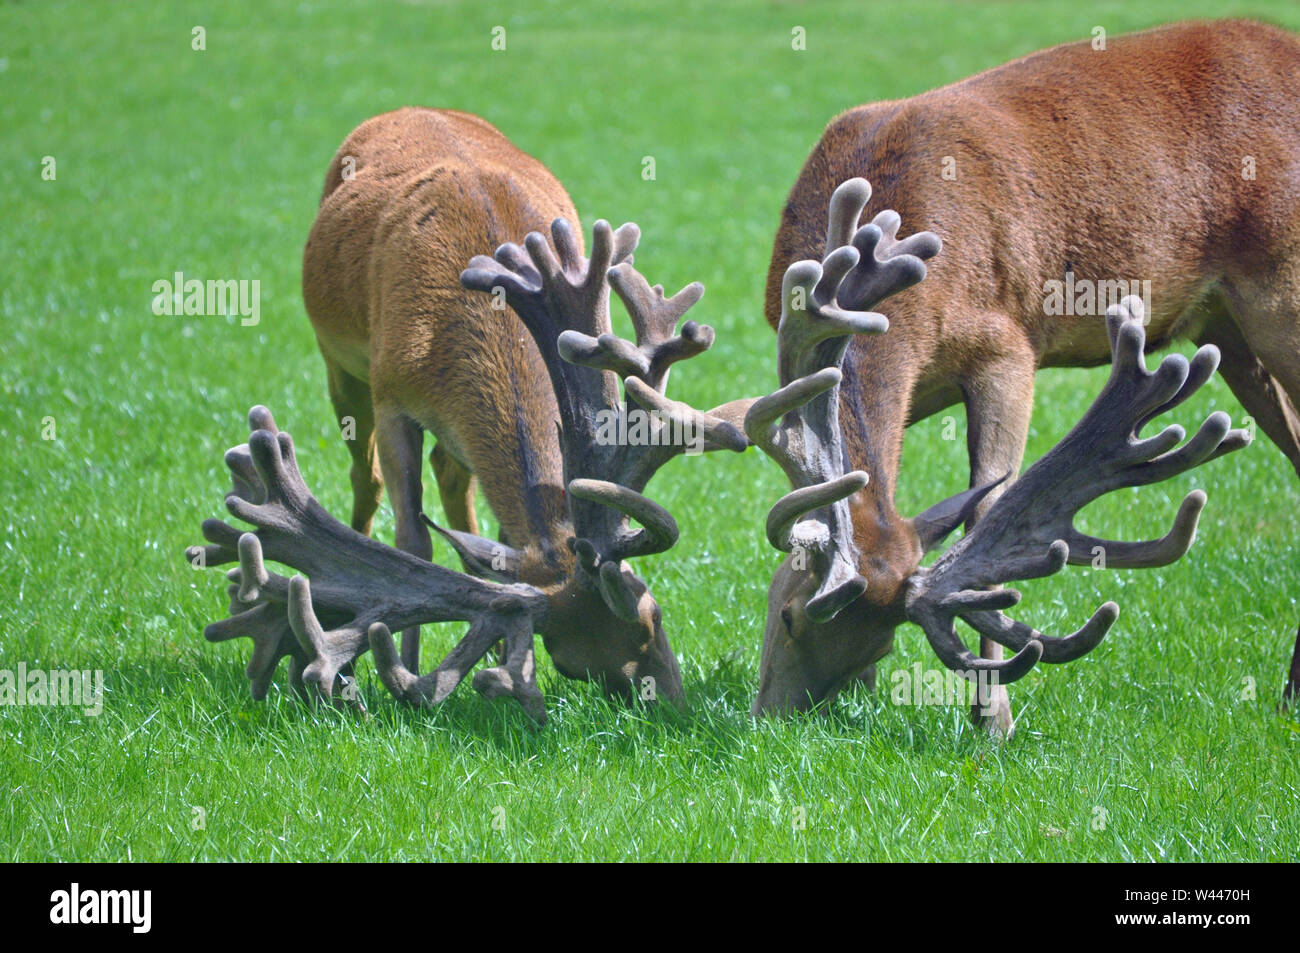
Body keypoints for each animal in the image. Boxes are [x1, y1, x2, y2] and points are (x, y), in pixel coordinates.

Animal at [185, 109, 754, 722]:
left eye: (653, 615)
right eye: (571, 663)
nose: (673, 707)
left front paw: (504, 663)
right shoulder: (392, 395)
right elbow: (413, 539)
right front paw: (399, 668)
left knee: (453, 477)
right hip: (340, 365)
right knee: (367, 480)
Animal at [759, 14, 1294, 728]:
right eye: (785, 613)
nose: (769, 722)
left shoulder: (1006, 345)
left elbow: (988, 506)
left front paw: (995, 718)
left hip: (1282, 294)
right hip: (1228, 331)